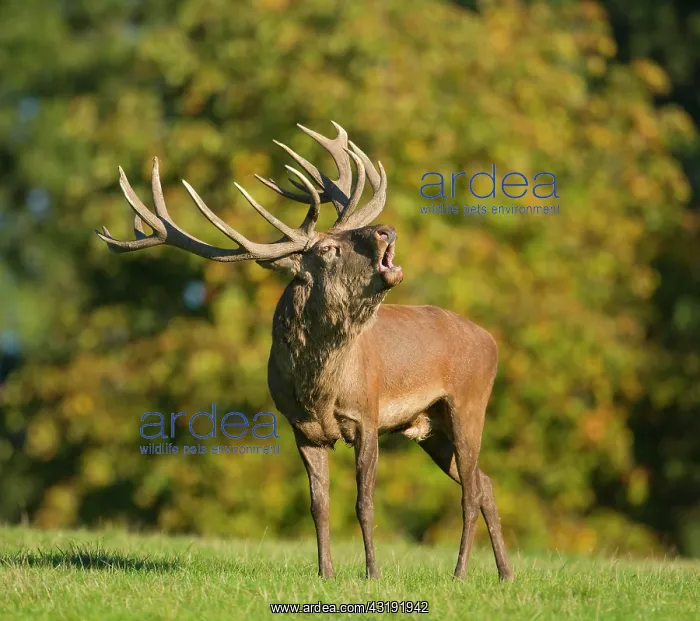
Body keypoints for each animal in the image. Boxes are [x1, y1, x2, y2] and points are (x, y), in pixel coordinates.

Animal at [96, 121, 514, 582]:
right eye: (327, 249)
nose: (385, 230)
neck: (318, 391)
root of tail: (491, 340)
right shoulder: (302, 430)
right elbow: (319, 505)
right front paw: (326, 573)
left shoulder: (367, 416)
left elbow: (364, 504)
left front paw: (372, 573)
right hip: (428, 426)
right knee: (485, 483)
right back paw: (505, 573)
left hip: (467, 402)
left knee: (471, 489)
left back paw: (460, 573)